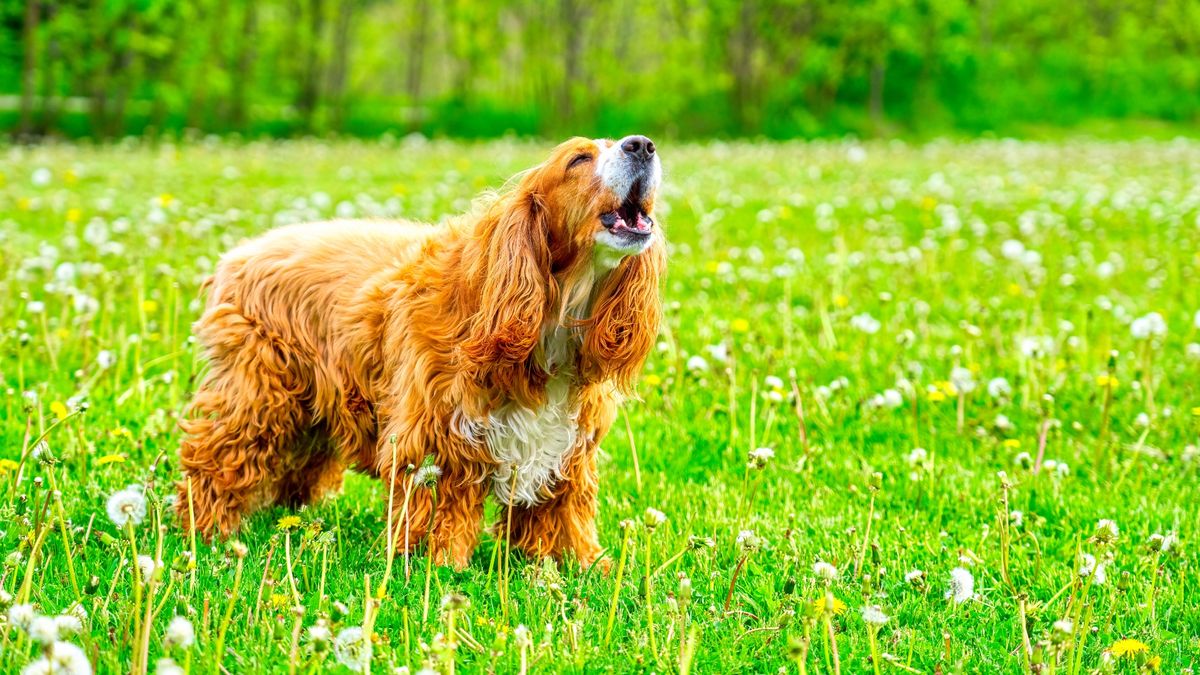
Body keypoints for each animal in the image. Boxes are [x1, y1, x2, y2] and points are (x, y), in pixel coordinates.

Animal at [176, 133, 667, 564]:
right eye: (578, 160)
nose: (642, 145)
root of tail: (237, 255)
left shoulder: (566, 447)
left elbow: (564, 510)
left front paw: (579, 563)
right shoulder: (436, 436)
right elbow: (438, 511)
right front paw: (437, 564)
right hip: (257, 397)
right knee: (211, 459)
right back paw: (206, 530)